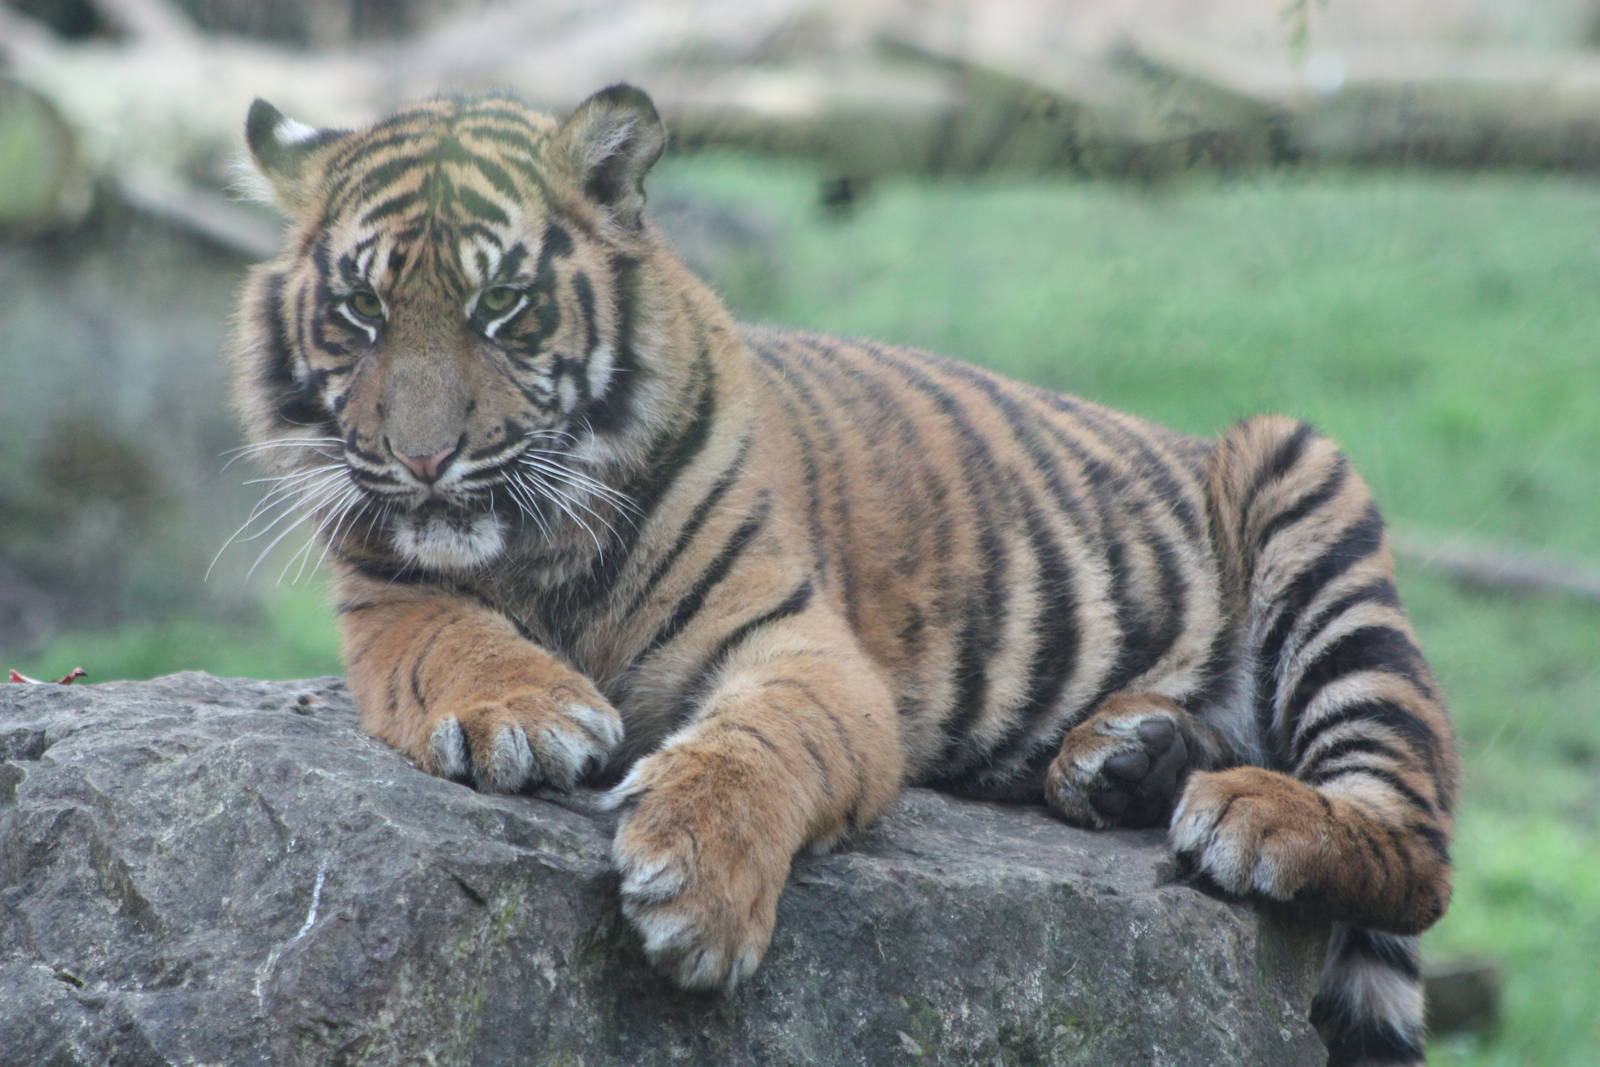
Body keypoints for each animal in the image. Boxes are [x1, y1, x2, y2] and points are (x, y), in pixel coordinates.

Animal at [230, 84, 1460, 1066]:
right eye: (361, 310)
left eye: (502, 306)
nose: (422, 458)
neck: (541, 551)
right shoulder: (387, 593)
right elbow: (452, 638)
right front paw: (526, 714)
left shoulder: (803, 646)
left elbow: (762, 742)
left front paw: (698, 890)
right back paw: (1127, 759)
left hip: (1302, 486)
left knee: (1417, 839)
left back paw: (1245, 812)